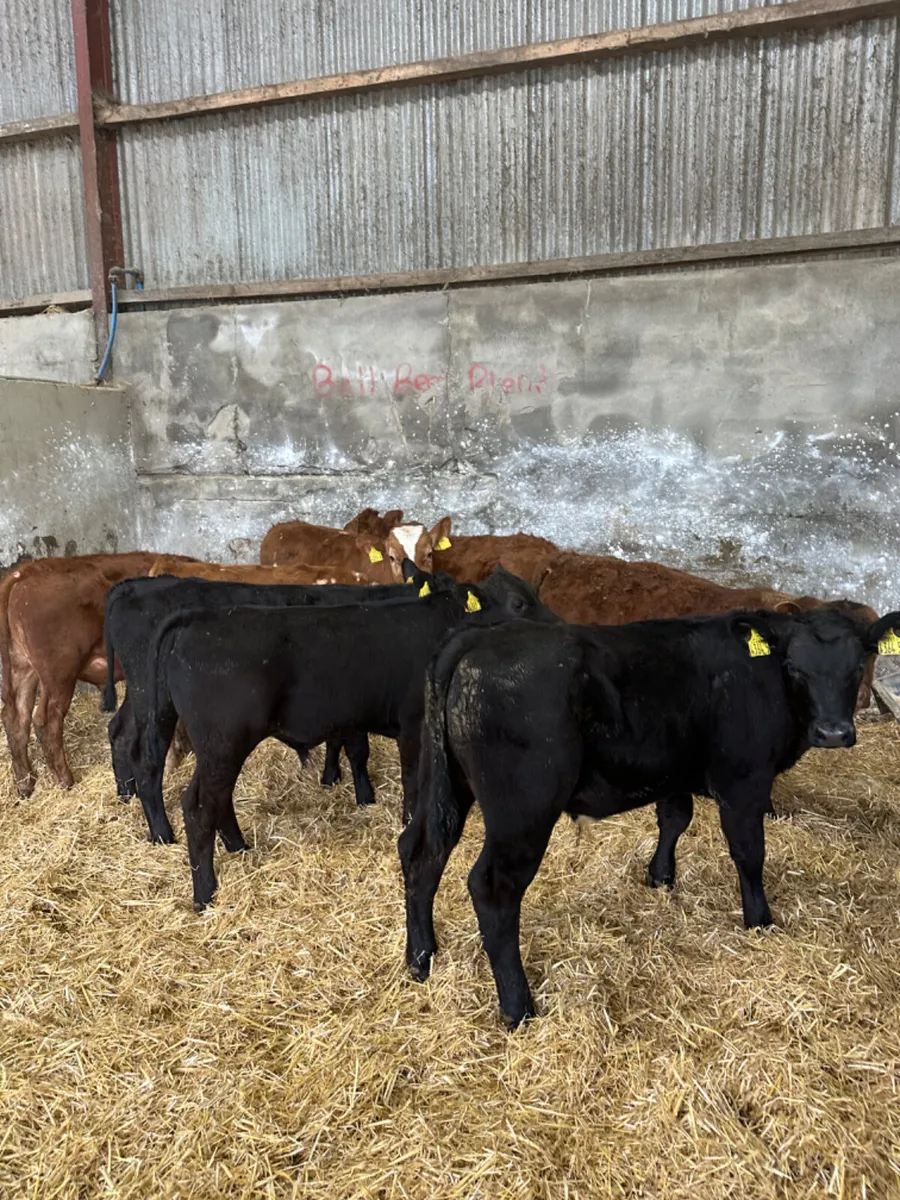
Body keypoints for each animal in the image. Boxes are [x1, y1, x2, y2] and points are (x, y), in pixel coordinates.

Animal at [0, 552, 196, 795]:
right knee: (46, 720)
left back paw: (26, 785)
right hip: (59, 674)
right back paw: (66, 781)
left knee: (16, 717)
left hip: (22, 667)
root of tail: (25, 571)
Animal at [104, 566, 443, 842]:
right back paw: (162, 832)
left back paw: (125, 795)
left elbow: (337, 741)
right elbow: (358, 750)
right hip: (155, 702)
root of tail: (134, 586)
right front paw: (364, 795)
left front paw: (330, 777)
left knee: (120, 731)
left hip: (142, 694)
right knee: (147, 758)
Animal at [143, 568, 558, 909]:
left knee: (216, 798)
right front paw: (407, 818)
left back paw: (238, 847)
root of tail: (199, 619)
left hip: (207, 740)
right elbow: (413, 780)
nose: (558, 628)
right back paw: (205, 893)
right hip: (223, 742)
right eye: (520, 603)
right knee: (199, 805)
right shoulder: (414, 723)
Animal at [399, 606, 900, 1027]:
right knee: (492, 889)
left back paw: (421, 959)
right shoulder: (745, 781)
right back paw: (518, 1007)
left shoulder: (673, 771)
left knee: (420, 851)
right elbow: (749, 853)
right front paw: (759, 920)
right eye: (795, 667)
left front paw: (660, 876)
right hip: (523, 811)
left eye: (857, 666)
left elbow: (674, 818)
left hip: (445, 786)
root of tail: (481, 635)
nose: (833, 732)